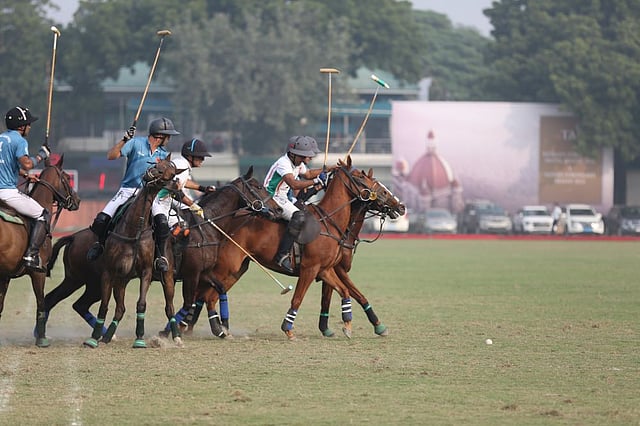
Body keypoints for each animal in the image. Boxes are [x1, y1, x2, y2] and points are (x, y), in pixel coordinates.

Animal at [0, 156, 81, 347]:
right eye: (67, 177)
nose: (78, 200)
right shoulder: (39, 272)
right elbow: (41, 303)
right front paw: (42, 338)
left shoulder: (5, 275)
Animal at [83, 157, 183, 349]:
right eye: (157, 164)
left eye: (172, 173)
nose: (152, 173)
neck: (134, 228)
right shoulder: (110, 272)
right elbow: (104, 305)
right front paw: (93, 338)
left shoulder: (146, 272)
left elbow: (141, 304)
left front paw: (140, 339)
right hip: (122, 279)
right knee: (120, 308)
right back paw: (107, 336)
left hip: (167, 277)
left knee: (170, 307)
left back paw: (177, 337)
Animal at [192, 156, 402, 340]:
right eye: (360, 176)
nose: (401, 207)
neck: (330, 222)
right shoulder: (311, 269)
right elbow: (299, 298)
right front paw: (288, 329)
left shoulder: (325, 269)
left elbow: (346, 292)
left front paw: (349, 325)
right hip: (226, 266)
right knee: (205, 294)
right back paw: (205, 327)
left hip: (237, 269)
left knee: (210, 295)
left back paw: (215, 329)